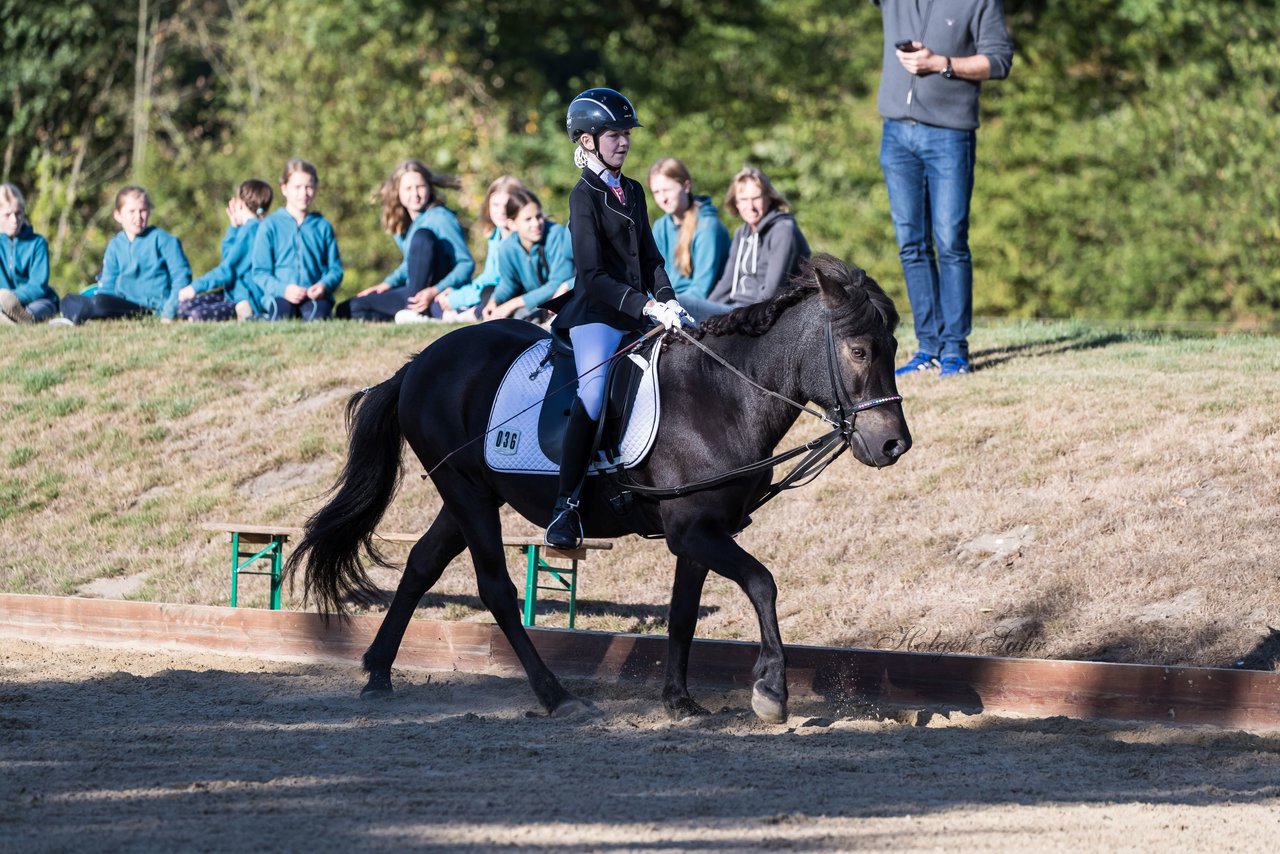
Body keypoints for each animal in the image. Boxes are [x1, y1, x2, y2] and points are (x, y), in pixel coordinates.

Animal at [290, 253, 911, 722]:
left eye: (895, 351)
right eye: (858, 350)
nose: (893, 445)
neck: (723, 394)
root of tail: (420, 362)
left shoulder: (699, 531)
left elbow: (683, 613)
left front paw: (679, 701)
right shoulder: (693, 531)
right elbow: (762, 583)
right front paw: (771, 692)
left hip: (470, 495)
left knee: (421, 564)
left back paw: (377, 672)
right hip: (466, 493)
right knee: (495, 589)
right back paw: (555, 695)